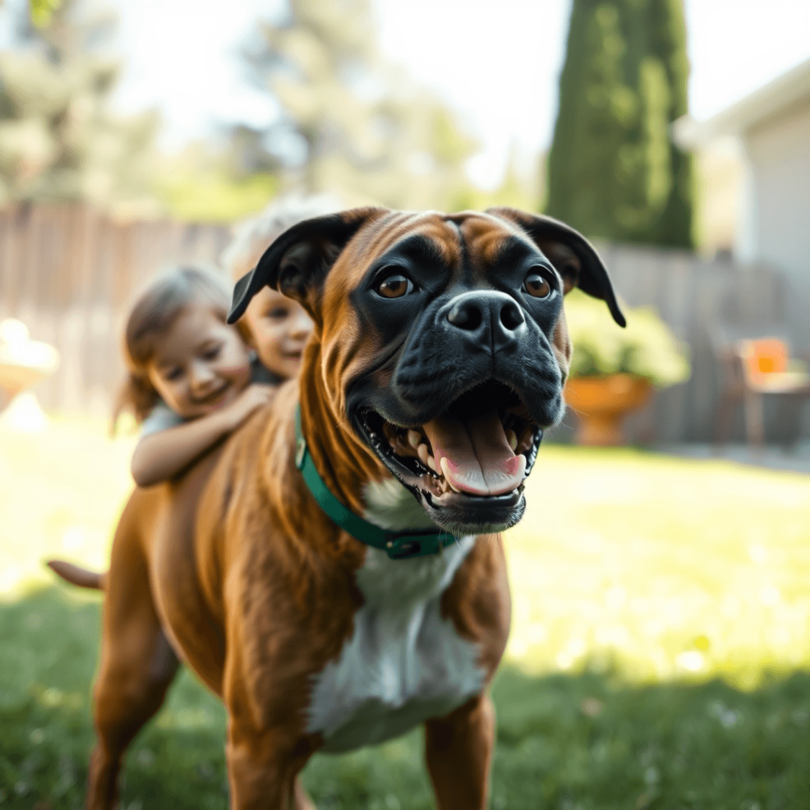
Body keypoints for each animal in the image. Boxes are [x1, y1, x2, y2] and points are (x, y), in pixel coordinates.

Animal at [47, 208, 620, 808]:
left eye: (538, 283)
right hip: (132, 676)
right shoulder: (258, 754)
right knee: (106, 755)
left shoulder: (463, 731)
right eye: (394, 284)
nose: (488, 312)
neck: (400, 545)